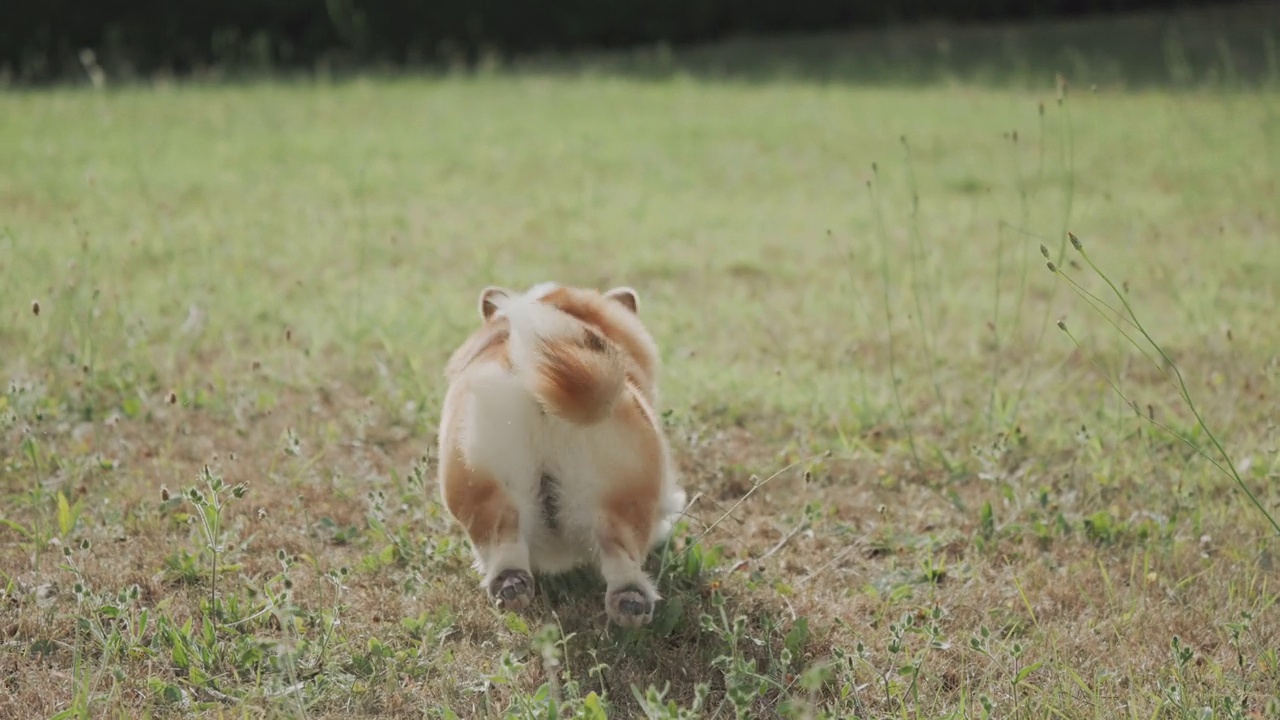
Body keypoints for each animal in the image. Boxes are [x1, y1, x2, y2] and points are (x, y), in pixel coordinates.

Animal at [432, 278, 686, 625]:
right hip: (628, 492)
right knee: (622, 555)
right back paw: (632, 601)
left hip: (484, 480)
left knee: (505, 540)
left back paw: (512, 585)